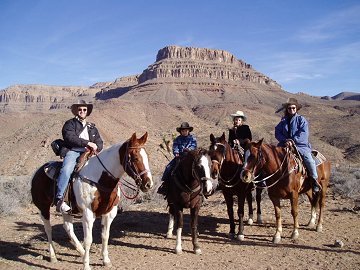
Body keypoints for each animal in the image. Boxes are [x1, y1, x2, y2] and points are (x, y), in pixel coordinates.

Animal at [31, 133, 153, 270]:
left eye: (147, 157)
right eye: (135, 158)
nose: (148, 184)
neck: (99, 179)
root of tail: (39, 171)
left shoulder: (109, 213)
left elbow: (105, 236)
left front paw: (106, 260)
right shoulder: (88, 214)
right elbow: (88, 240)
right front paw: (86, 265)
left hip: (67, 210)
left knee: (68, 227)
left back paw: (81, 251)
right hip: (43, 207)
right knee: (48, 229)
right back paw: (53, 256)